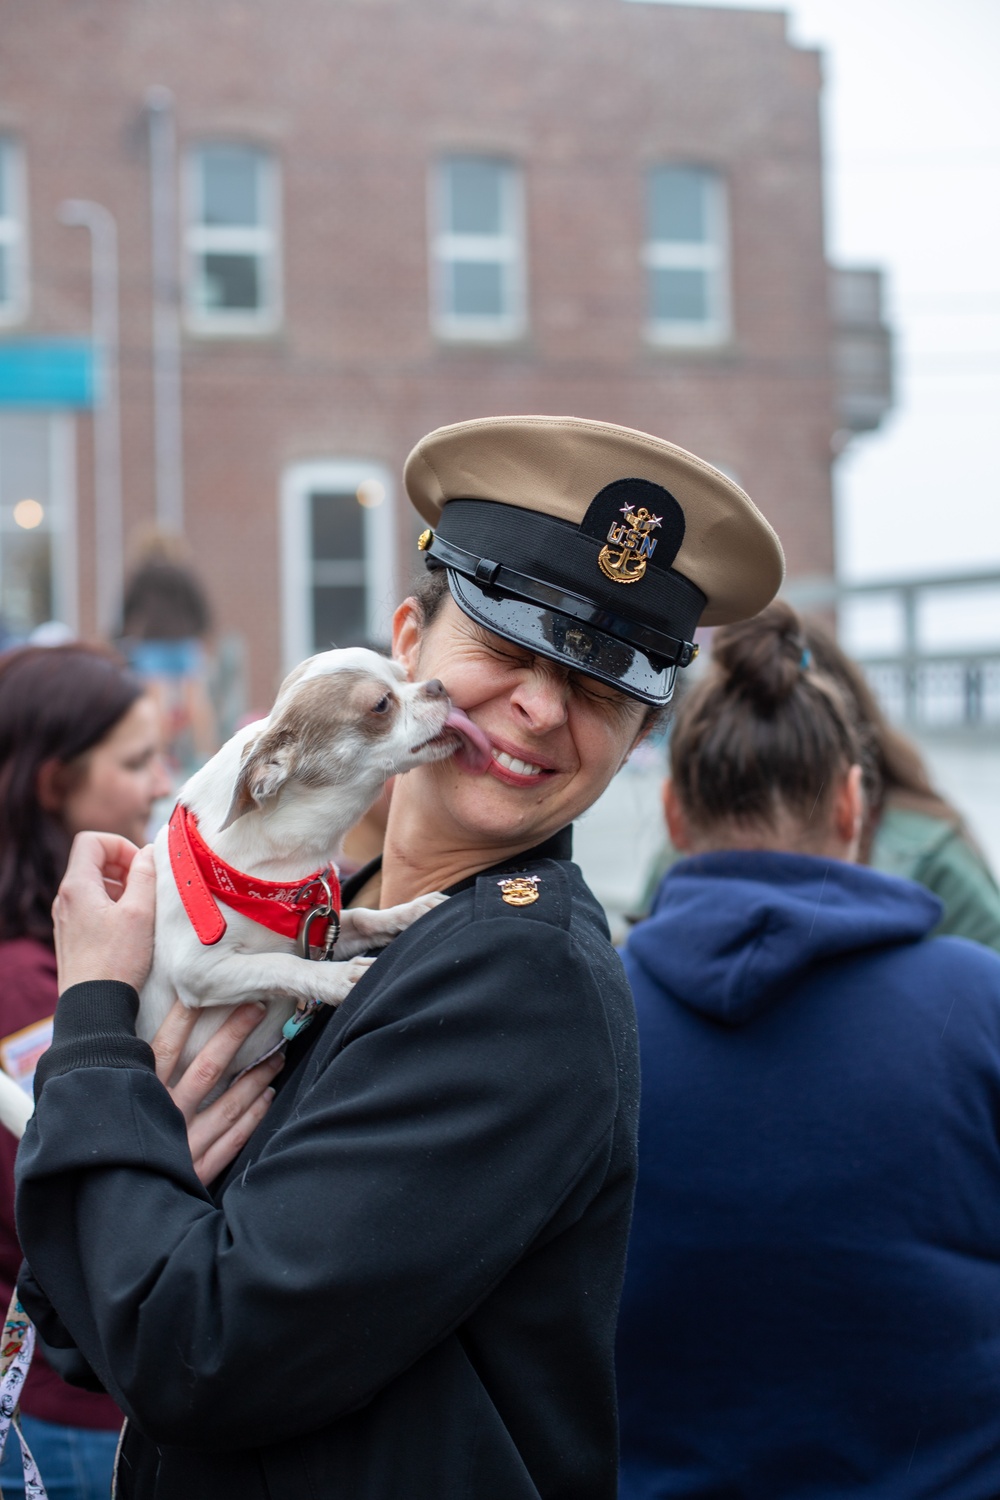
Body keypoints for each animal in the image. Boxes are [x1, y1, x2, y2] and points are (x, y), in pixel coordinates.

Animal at [0, 648, 488, 1134]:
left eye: (408, 673)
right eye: (382, 705)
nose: (438, 685)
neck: (277, 875)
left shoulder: (321, 926)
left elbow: (360, 919)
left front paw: (409, 912)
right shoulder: (199, 970)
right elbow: (280, 963)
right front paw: (337, 979)